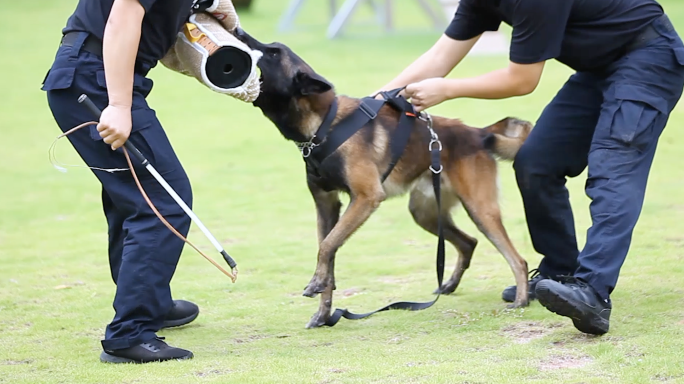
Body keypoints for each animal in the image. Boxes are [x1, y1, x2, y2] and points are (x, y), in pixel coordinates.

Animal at [235, 29, 536, 328]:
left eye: (274, 52)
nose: (238, 31)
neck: (323, 125)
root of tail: (478, 133)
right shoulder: (327, 205)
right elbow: (327, 253)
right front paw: (323, 313)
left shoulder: (366, 198)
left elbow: (327, 246)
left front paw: (316, 284)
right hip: (424, 212)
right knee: (468, 242)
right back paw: (449, 285)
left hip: (480, 210)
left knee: (517, 259)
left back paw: (521, 299)